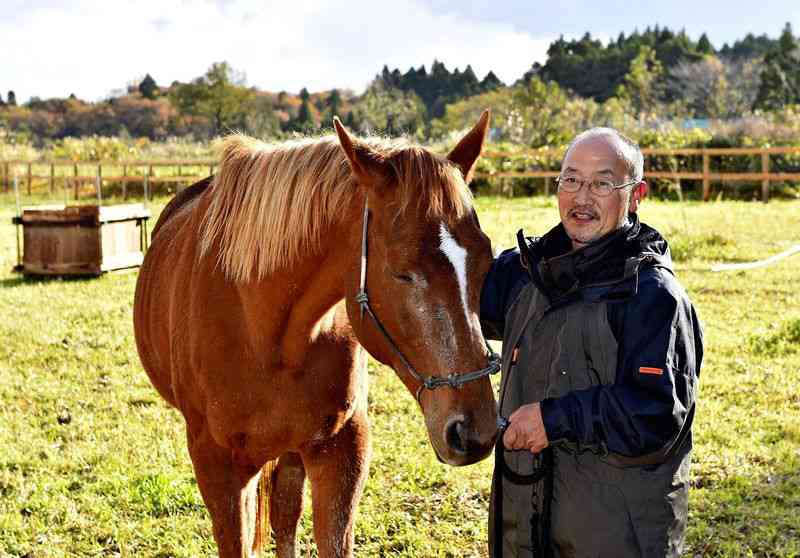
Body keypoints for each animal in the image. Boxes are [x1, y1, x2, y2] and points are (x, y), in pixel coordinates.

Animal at [136, 111, 500, 556]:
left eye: (486, 260)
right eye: (402, 272)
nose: (475, 431)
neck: (268, 335)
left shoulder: (340, 448)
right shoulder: (218, 464)